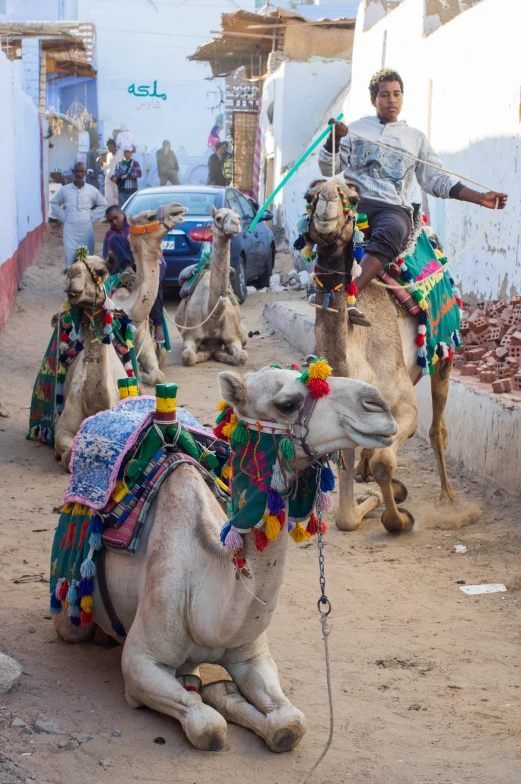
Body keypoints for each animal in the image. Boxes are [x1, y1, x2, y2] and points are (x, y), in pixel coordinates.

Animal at [51, 368, 394, 752]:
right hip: (72, 601)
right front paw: (216, 701)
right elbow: (209, 727)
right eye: (287, 404)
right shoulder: (140, 662)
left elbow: (290, 723)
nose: (378, 405)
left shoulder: (252, 656)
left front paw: (225, 693)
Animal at [110, 202, 188, 386]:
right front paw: (138, 372)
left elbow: (157, 375)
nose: (177, 206)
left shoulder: (146, 346)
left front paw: (142, 372)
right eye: (150, 217)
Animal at [175, 208, 248, 368]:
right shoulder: (190, 335)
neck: (212, 317)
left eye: (239, 217)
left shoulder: (233, 337)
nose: (235, 223)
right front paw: (205, 353)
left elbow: (241, 356)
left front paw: (222, 354)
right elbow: (188, 356)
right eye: (218, 218)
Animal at [308, 179, 456, 532]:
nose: (328, 194)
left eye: (353, 199)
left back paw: (448, 500)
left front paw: (397, 517)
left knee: (437, 429)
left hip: (444, 351)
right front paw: (375, 497)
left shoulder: (405, 406)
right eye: (310, 195)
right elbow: (346, 518)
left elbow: (385, 462)